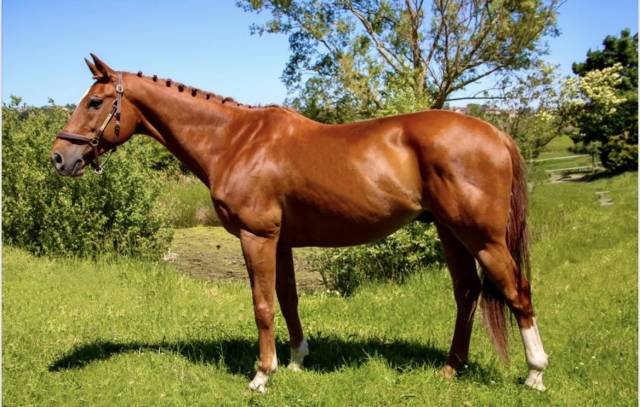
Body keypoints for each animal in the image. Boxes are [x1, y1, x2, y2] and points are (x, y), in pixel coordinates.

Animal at [50, 54, 548, 393]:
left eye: (95, 102)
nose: (59, 157)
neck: (234, 141)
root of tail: (496, 132)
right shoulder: (283, 241)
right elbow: (287, 300)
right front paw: (296, 360)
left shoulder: (257, 237)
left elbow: (262, 305)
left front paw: (261, 376)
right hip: (450, 231)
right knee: (467, 292)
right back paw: (450, 367)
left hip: (482, 237)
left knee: (517, 291)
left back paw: (535, 374)